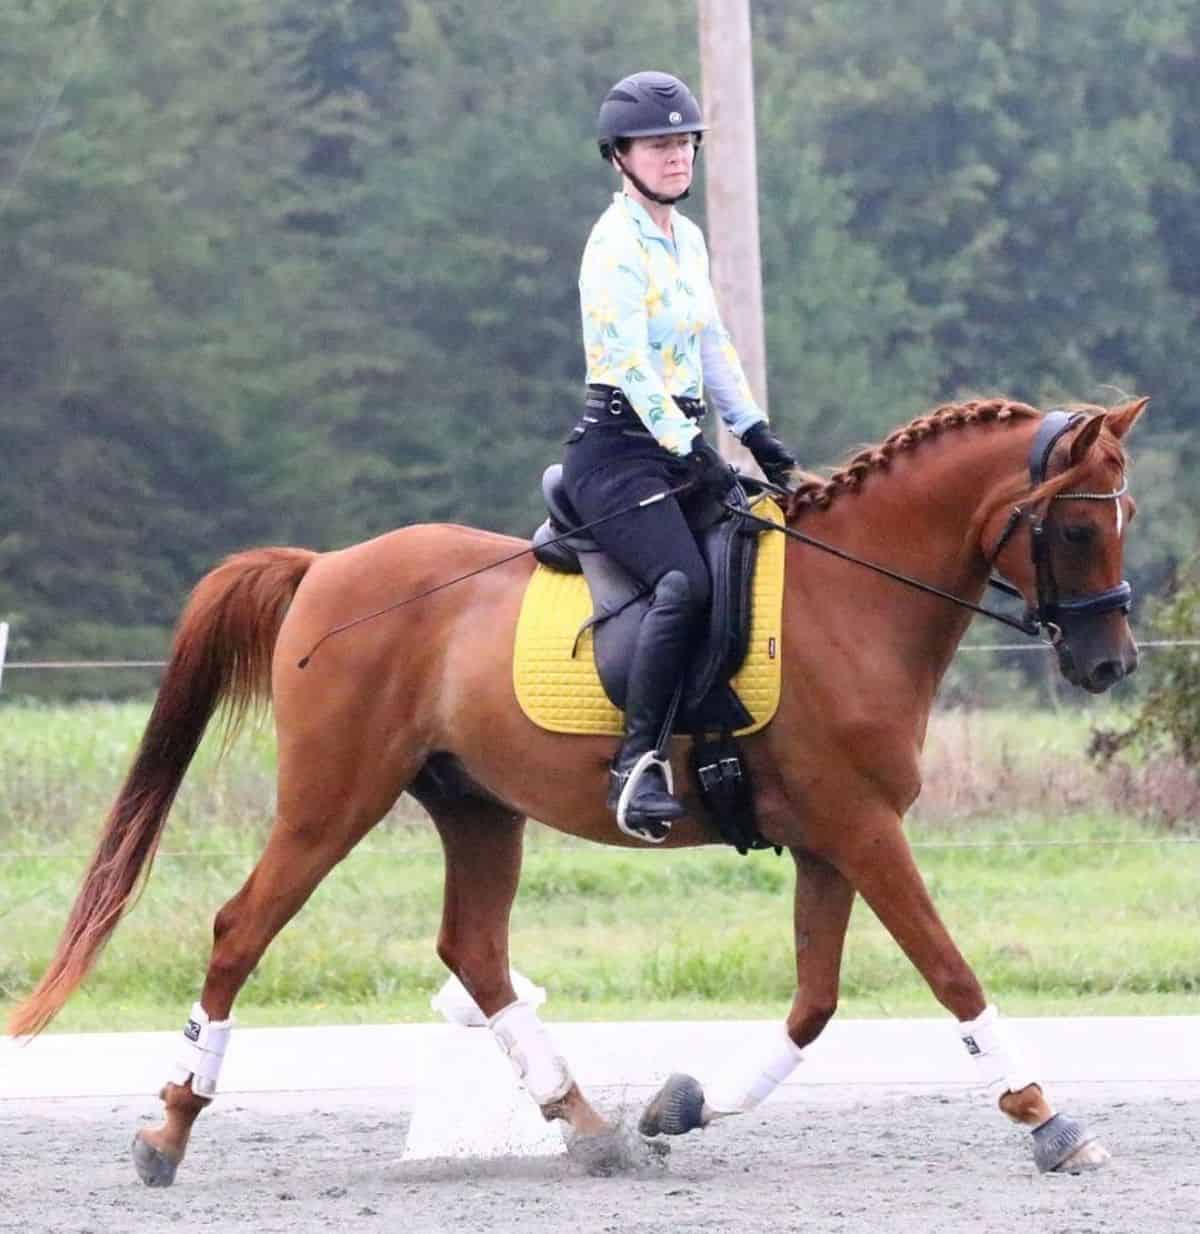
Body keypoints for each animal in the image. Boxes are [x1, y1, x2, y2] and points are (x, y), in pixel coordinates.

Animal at [11, 397, 1155, 1184]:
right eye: (1075, 527)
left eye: (1123, 516)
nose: (1109, 664)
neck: (854, 597)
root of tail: (323, 567)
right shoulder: (863, 828)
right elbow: (950, 973)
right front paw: (1050, 1119)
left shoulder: (832, 838)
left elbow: (816, 1001)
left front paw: (683, 1105)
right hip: (330, 803)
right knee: (241, 929)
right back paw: (168, 1128)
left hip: (476, 808)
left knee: (475, 952)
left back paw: (595, 1129)